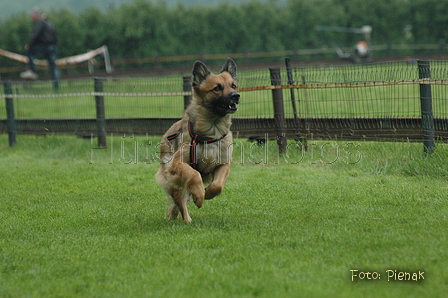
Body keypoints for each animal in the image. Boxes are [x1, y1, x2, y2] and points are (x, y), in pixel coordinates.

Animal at [156, 57, 240, 221]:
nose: (236, 95)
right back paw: (187, 219)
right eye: (217, 88)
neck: (212, 128)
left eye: (233, 85)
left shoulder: (223, 163)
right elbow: (194, 175)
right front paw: (200, 196)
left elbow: (218, 185)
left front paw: (206, 193)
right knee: (180, 198)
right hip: (171, 178)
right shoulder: (177, 163)